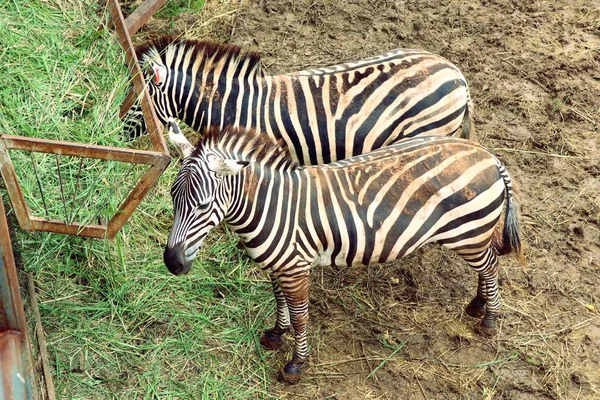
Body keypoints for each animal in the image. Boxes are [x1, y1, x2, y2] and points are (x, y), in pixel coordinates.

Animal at [162, 119, 524, 384]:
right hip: (475, 232)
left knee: (491, 266)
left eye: (204, 205)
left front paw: (296, 364)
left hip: (468, 233)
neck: (272, 206)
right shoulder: (280, 264)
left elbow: (300, 315)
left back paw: (489, 319)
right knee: (487, 265)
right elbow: (279, 302)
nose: (172, 263)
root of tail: (488, 156)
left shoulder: (295, 267)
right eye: (172, 195)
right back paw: (477, 305)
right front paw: (276, 334)